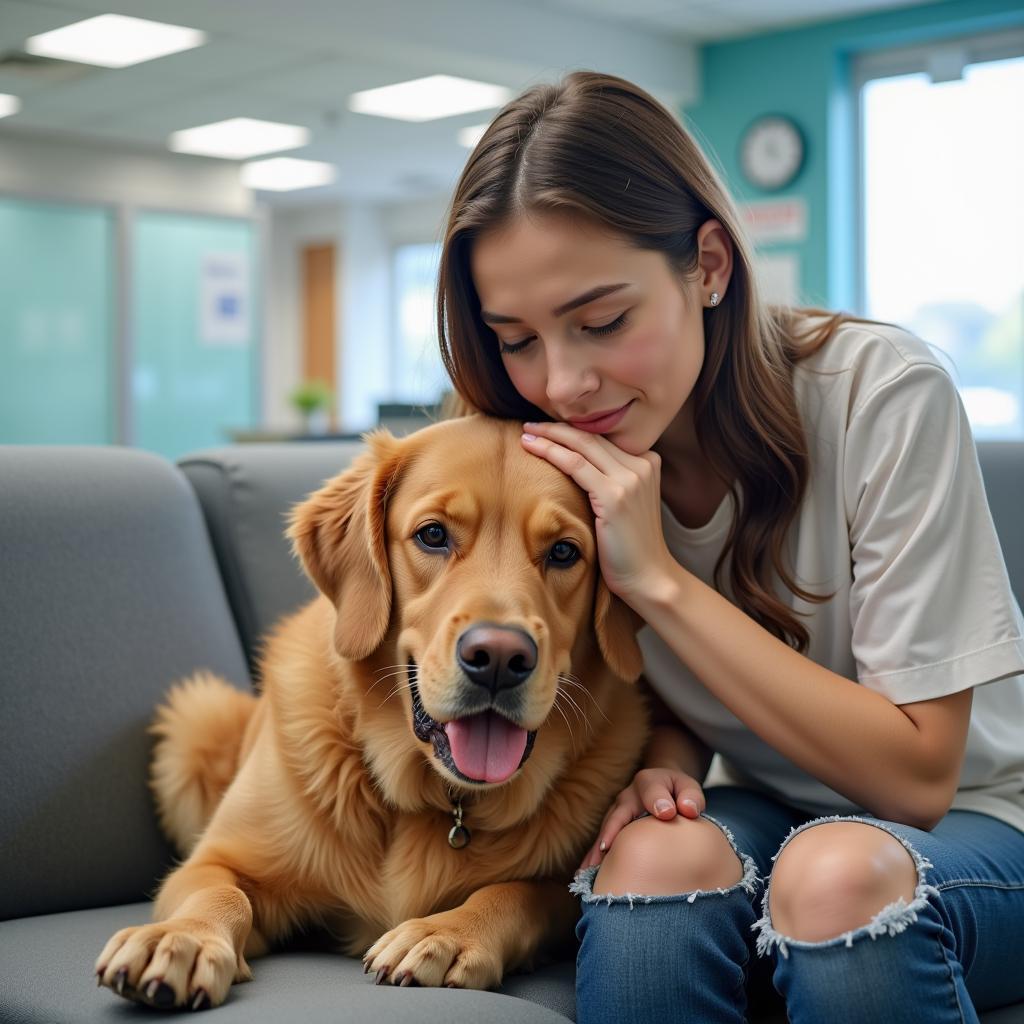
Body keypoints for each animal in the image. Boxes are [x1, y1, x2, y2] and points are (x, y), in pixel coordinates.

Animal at [92, 413, 643, 1007]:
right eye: (432, 535)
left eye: (564, 552)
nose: (498, 658)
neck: (434, 798)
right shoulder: (212, 860)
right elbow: (217, 893)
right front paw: (180, 938)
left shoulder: (564, 886)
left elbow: (516, 892)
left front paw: (444, 934)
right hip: (197, 719)